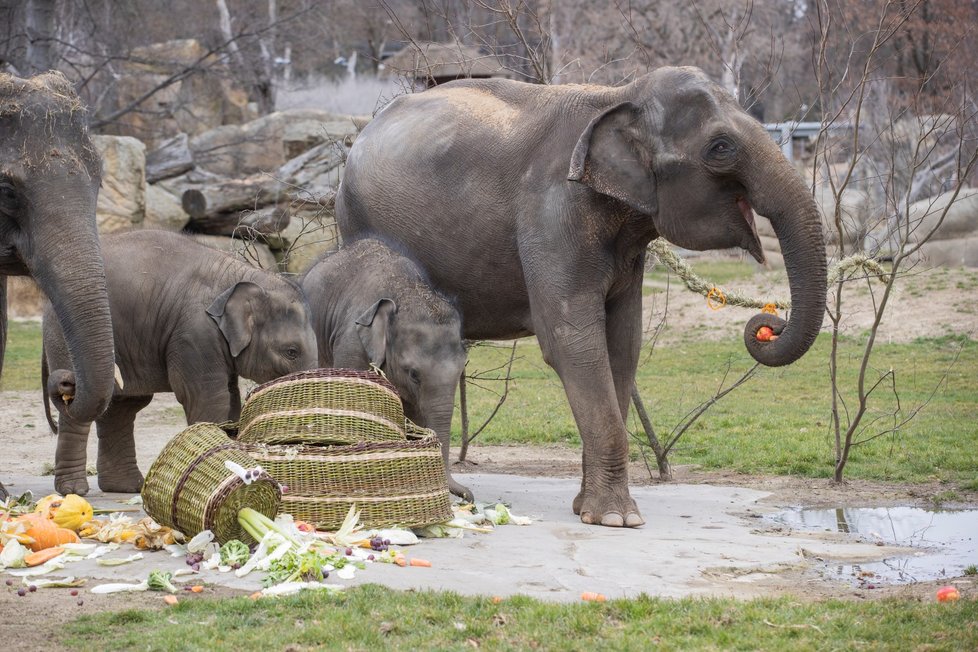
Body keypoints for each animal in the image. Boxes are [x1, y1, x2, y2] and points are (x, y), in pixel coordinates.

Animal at [43, 229, 316, 494]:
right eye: (291, 352)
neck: (245, 275)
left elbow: (231, 399)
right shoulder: (194, 334)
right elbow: (208, 397)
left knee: (123, 407)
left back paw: (125, 487)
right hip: (67, 337)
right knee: (80, 406)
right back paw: (74, 490)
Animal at [336, 65, 824, 528]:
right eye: (721, 148)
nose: (768, 324)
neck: (618, 95)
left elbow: (622, 345)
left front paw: (587, 510)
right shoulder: (553, 215)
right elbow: (573, 343)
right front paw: (617, 518)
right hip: (358, 221)